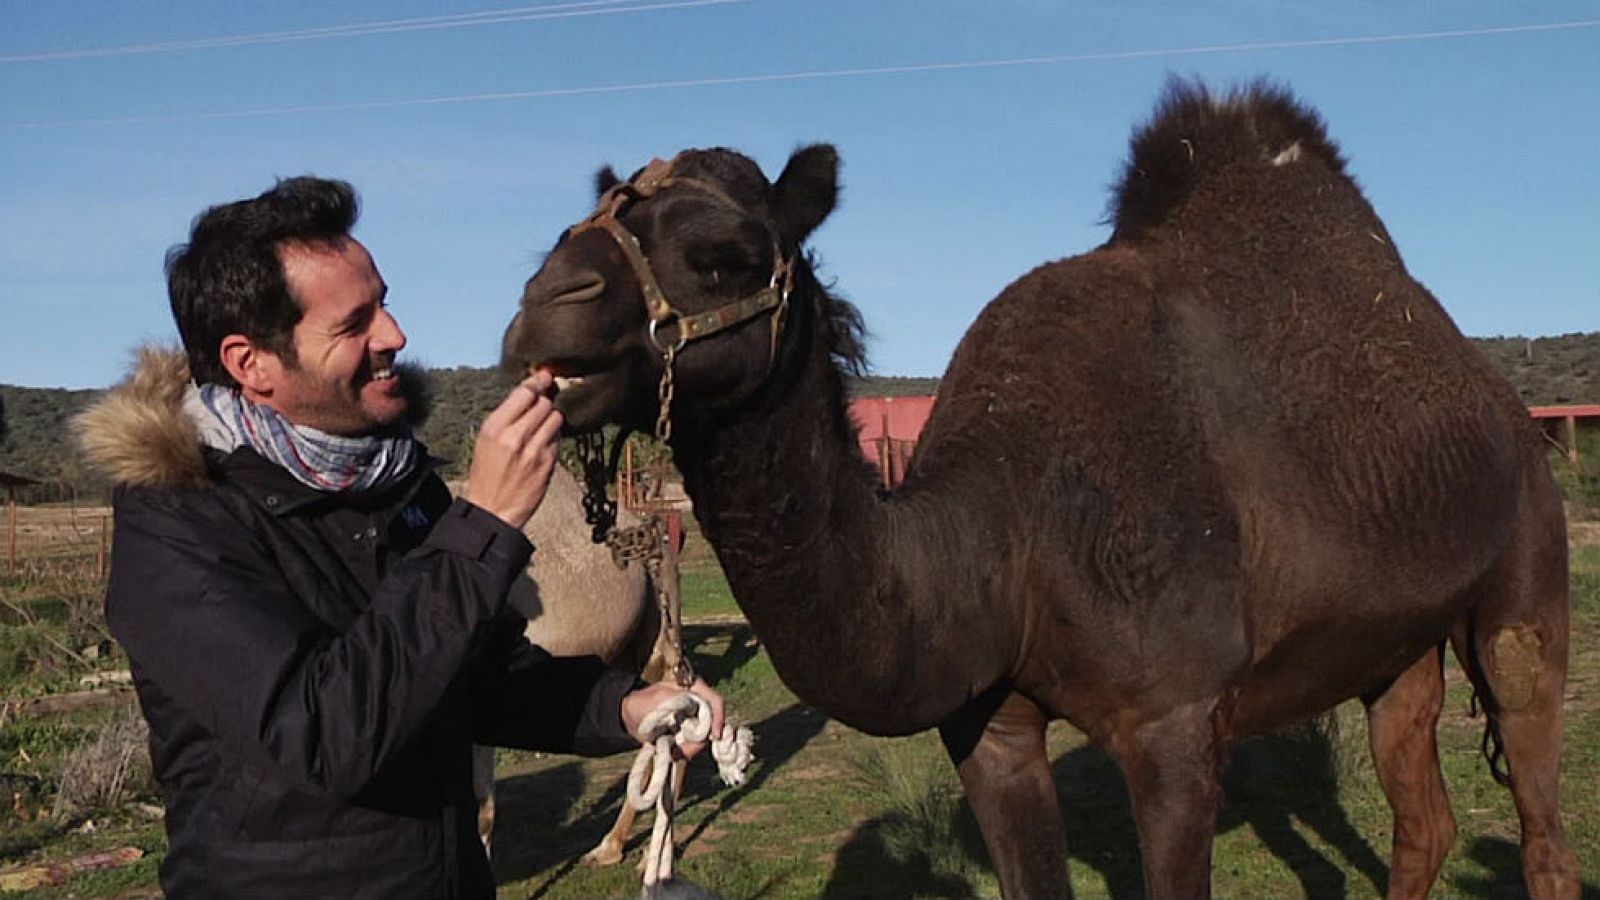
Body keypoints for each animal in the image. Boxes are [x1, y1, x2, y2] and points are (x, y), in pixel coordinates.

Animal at [497, 81, 1579, 899]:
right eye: (571, 228)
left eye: (727, 255)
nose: (544, 306)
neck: (1003, 531)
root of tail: (1500, 408)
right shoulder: (990, 726)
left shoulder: (1175, 723)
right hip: (1389, 644)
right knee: (1422, 820)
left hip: (1526, 562)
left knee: (1538, 803)